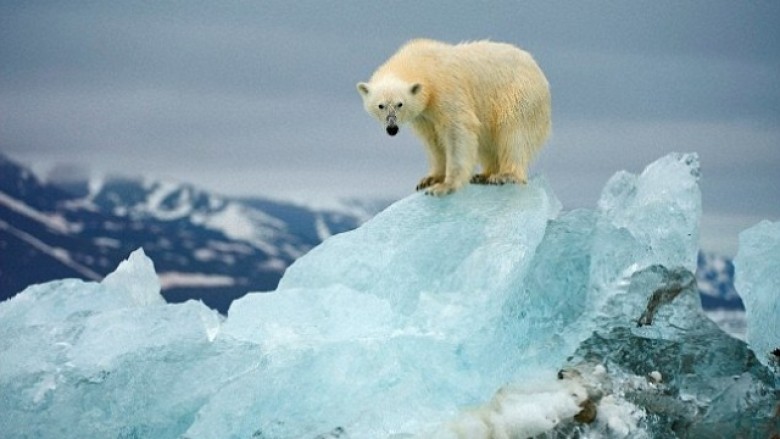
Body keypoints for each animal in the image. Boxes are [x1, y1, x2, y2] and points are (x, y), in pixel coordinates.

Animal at [356, 38, 552, 197]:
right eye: (380, 105)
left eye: (400, 104)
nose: (392, 128)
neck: (421, 63)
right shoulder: (423, 115)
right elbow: (434, 140)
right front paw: (429, 179)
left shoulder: (446, 89)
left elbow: (457, 130)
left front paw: (445, 186)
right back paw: (483, 175)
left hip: (519, 95)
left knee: (513, 132)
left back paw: (505, 175)